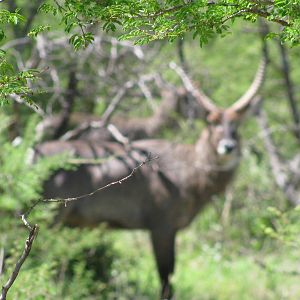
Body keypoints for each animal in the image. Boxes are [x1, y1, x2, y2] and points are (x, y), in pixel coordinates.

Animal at [36, 57, 266, 298]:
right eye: (212, 123)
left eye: (237, 125)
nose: (228, 147)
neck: (188, 165)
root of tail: (34, 152)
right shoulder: (162, 229)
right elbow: (166, 280)